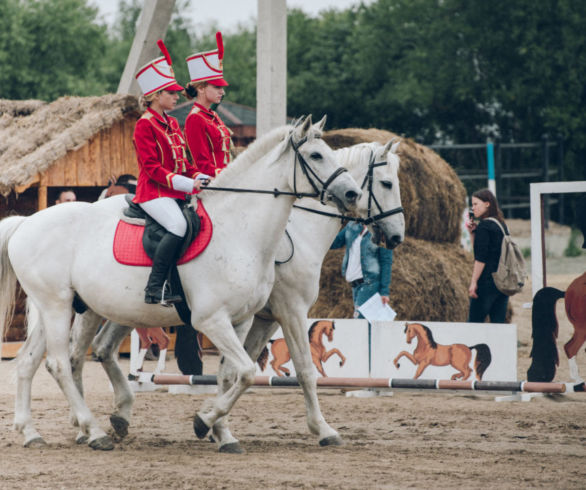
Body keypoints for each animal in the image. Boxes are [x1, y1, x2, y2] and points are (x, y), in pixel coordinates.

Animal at [1, 116, 360, 452]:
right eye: (316, 155)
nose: (352, 193)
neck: (240, 229)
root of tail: (26, 222)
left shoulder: (242, 320)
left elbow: (232, 375)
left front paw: (222, 433)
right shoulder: (216, 319)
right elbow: (249, 371)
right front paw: (204, 422)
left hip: (64, 308)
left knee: (30, 361)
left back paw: (32, 432)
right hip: (58, 306)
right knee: (60, 363)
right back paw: (94, 431)